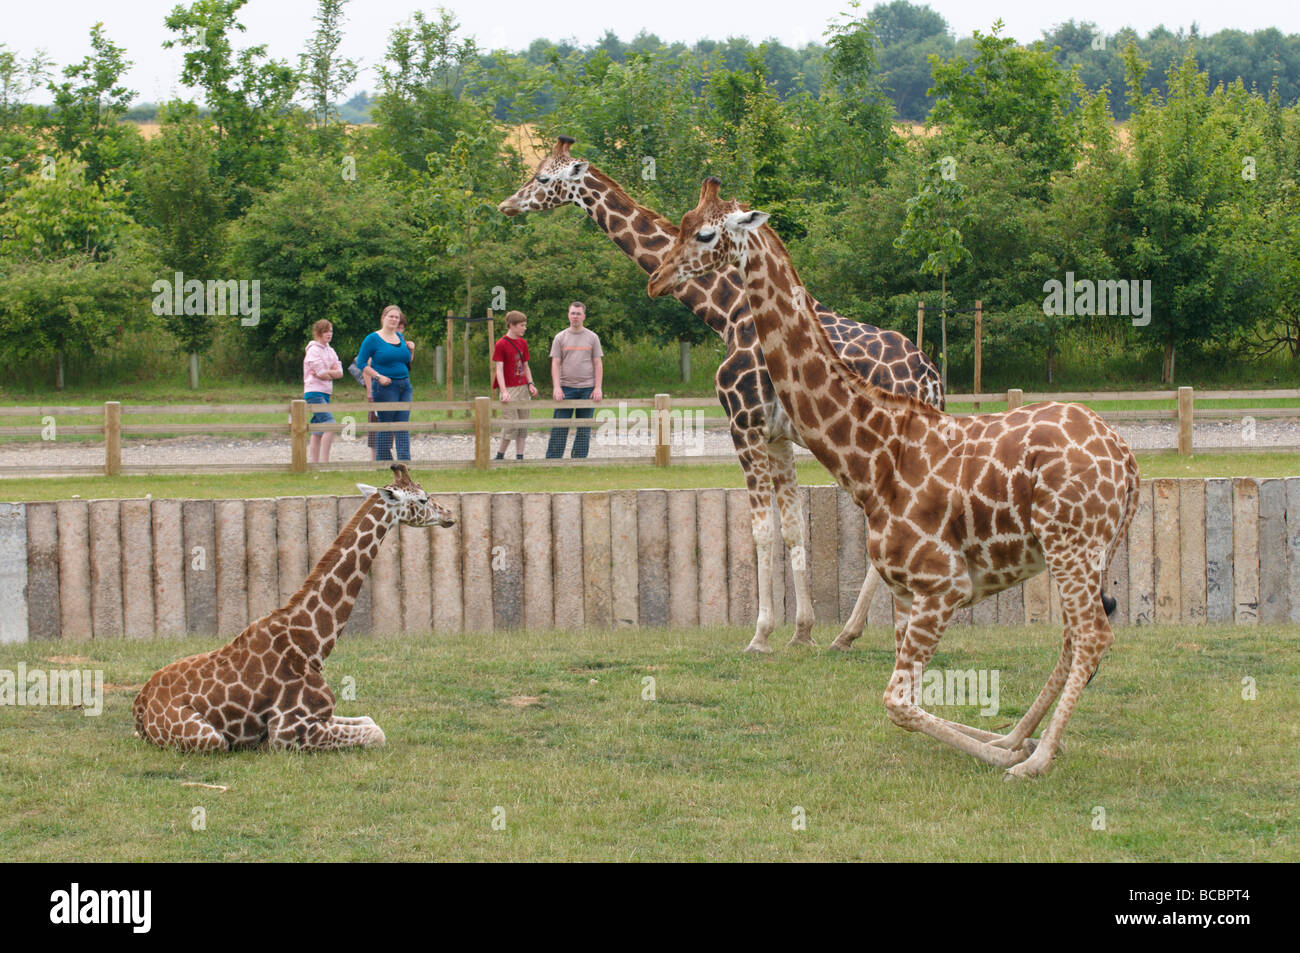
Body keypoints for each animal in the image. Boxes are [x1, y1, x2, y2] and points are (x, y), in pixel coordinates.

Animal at [133, 465, 457, 748]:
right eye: (422, 498)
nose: (450, 514)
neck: (312, 644)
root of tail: (139, 706)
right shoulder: (288, 730)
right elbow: (377, 734)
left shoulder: (324, 715)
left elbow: (370, 721)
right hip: (208, 737)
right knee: (217, 742)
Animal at [499, 135, 946, 655]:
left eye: (543, 178)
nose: (506, 205)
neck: (726, 310)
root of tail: (929, 378)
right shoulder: (777, 438)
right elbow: (793, 528)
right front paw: (802, 631)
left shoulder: (744, 424)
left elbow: (761, 530)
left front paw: (761, 634)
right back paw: (858, 630)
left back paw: (854, 631)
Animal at [650, 180, 1138, 780]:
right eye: (680, 222)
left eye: (704, 233)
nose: (656, 278)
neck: (872, 460)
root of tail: (1127, 459)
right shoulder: (909, 595)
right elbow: (911, 701)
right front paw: (1002, 741)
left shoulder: (942, 586)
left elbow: (897, 704)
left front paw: (1008, 753)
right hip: (1086, 549)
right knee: (1075, 636)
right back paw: (1019, 737)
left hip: (1073, 543)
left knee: (1092, 633)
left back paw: (1033, 758)